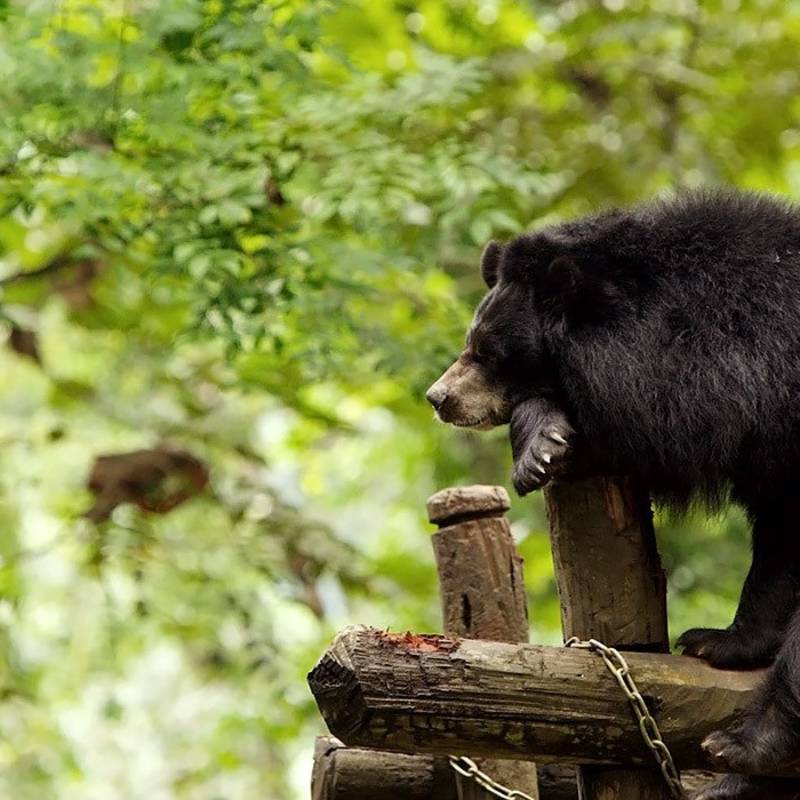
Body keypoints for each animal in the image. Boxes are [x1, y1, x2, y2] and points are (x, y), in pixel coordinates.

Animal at [428, 191, 800, 796]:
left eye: (488, 352)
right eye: (471, 342)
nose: (438, 397)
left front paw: (745, 744)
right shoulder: (763, 440)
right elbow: (782, 536)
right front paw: (719, 641)